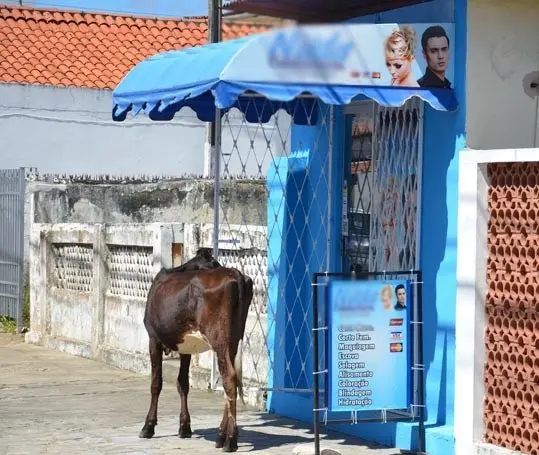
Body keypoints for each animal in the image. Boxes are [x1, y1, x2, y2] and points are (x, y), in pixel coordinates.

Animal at [141, 249, 255, 452]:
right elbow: (182, 384)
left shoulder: (153, 339)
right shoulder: (186, 348)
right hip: (234, 340)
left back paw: (230, 440)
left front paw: (148, 426)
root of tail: (234, 273)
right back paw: (221, 436)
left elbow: (156, 383)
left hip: (219, 339)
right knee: (230, 379)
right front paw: (185, 427)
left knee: (229, 378)